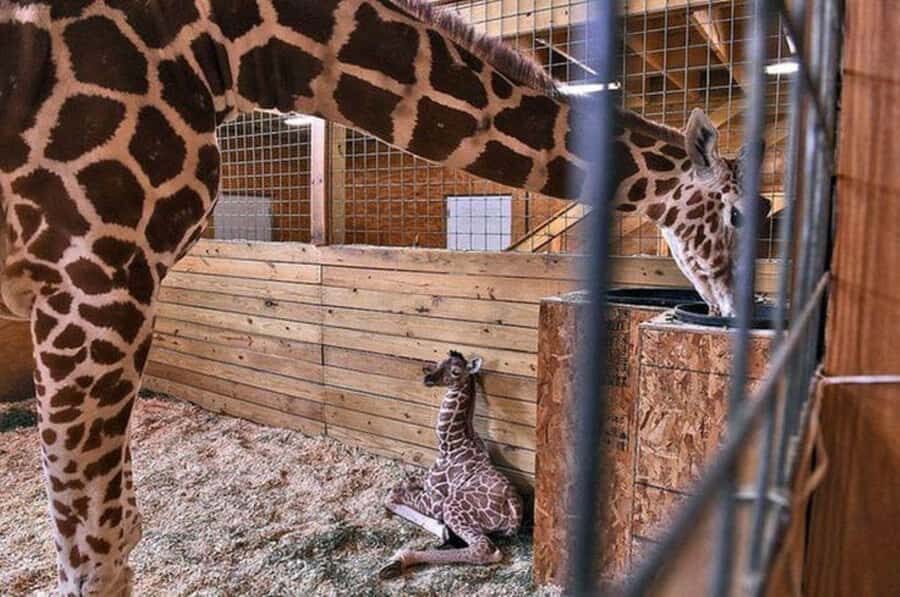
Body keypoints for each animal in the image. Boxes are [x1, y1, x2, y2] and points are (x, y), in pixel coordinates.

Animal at [379, 351, 523, 578]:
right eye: (438, 362)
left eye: (456, 371)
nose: (428, 377)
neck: (449, 444)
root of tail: (515, 510)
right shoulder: (426, 480)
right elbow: (399, 485)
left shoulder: (437, 502)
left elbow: (393, 494)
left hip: (452, 506)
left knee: (485, 549)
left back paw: (400, 560)